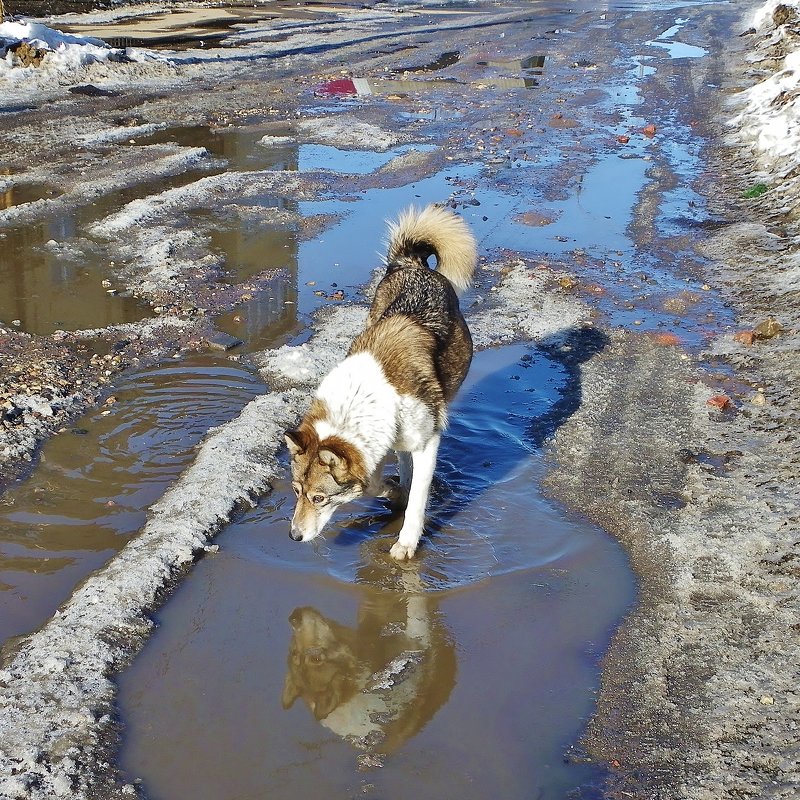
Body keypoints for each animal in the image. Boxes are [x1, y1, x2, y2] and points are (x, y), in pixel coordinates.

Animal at [286, 203, 476, 560]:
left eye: (319, 498)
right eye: (296, 491)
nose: (293, 536)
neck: (364, 397)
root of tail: (410, 263)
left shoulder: (427, 443)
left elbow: (417, 500)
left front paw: (406, 541)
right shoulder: (380, 443)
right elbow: (373, 483)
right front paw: (393, 491)